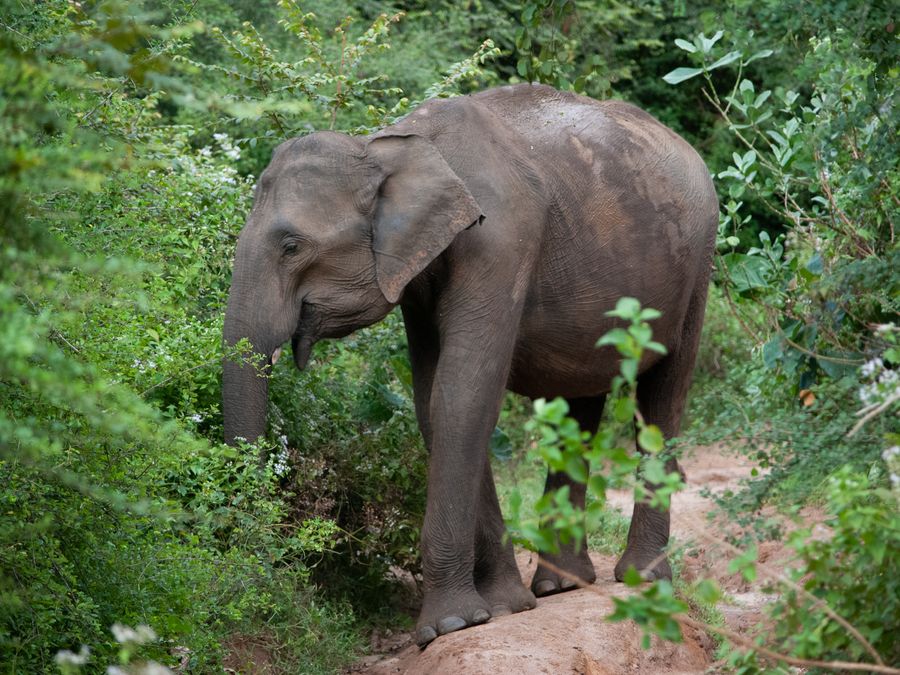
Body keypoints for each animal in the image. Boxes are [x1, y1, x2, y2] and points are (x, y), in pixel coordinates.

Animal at [222, 83, 718, 647]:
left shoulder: (501, 244)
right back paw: (560, 586)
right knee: (580, 408)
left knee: (662, 400)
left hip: (697, 264)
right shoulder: (418, 278)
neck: (389, 146)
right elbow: (434, 401)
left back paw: (642, 578)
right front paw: (504, 606)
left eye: (291, 246)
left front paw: (449, 625)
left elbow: (462, 395)